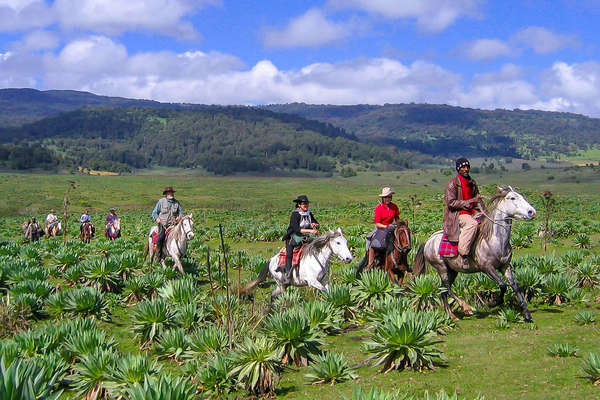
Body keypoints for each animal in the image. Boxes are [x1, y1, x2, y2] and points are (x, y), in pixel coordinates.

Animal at [412, 187, 540, 322]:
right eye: (512, 198)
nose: (532, 212)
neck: (494, 239)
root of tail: (429, 240)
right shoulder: (487, 268)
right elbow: (502, 285)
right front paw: (493, 302)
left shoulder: (505, 266)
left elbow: (515, 287)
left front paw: (527, 314)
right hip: (441, 267)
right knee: (446, 287)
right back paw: (466, 308)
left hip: (452, 270)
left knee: (443, 291)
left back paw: (451, 315)